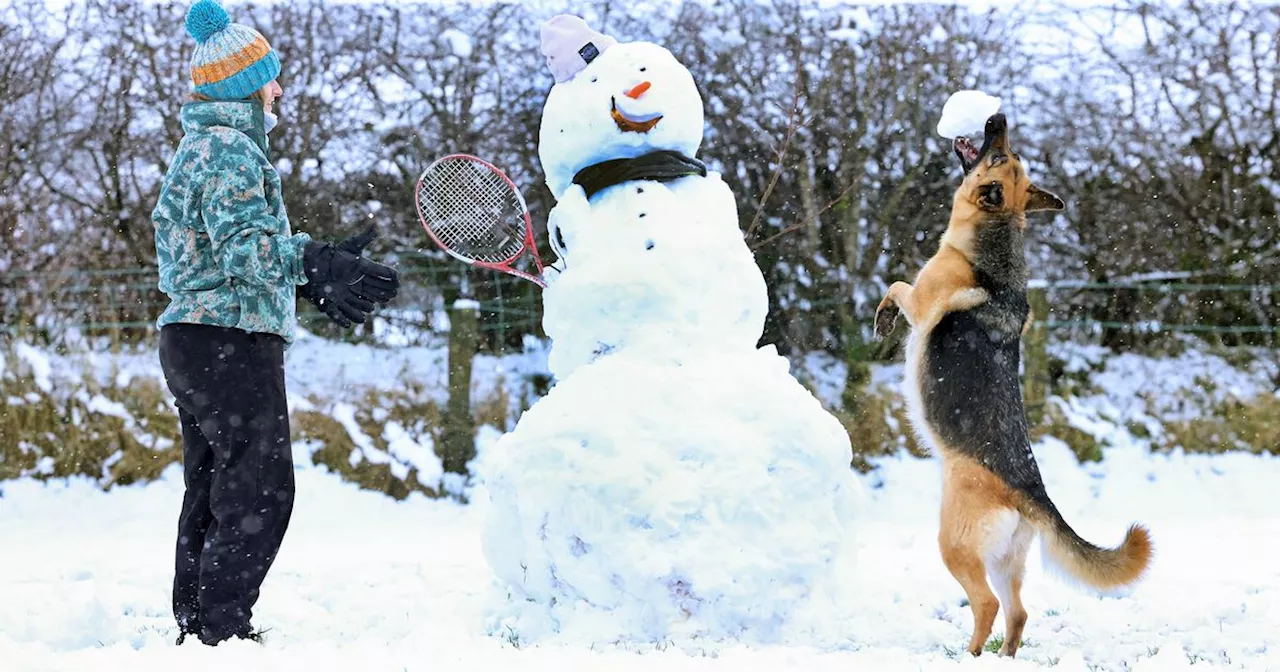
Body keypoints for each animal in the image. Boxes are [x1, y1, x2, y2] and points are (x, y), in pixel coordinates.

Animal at [875, 113, 1157, 655]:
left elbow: (897, 286)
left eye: (999, 156)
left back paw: (968, 657)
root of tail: (1034, 494)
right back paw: (1003, 657)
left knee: (985, 605)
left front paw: (882, 319)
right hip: (1008, 562)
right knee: (1019, 613)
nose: (997, 118)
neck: (997, 233)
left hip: (955, 546)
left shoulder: (921, 302)